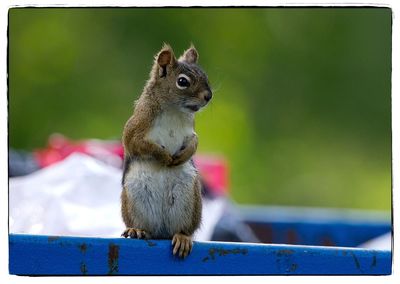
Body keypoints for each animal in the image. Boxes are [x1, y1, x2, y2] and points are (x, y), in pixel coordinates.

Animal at [120, 43, 212, 258]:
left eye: (205, 75)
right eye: (182, 81)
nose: (208, 96)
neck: (174, 110)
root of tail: (161, 232)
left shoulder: (190, 132)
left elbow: (195, 142)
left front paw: (182, 156)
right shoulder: (136, 128)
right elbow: (137, 144)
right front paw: (163, 156)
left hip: (189, 200)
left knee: (182, 229)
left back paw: (182, 237)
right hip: (134, 197)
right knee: (142, 225)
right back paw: (137, 230)